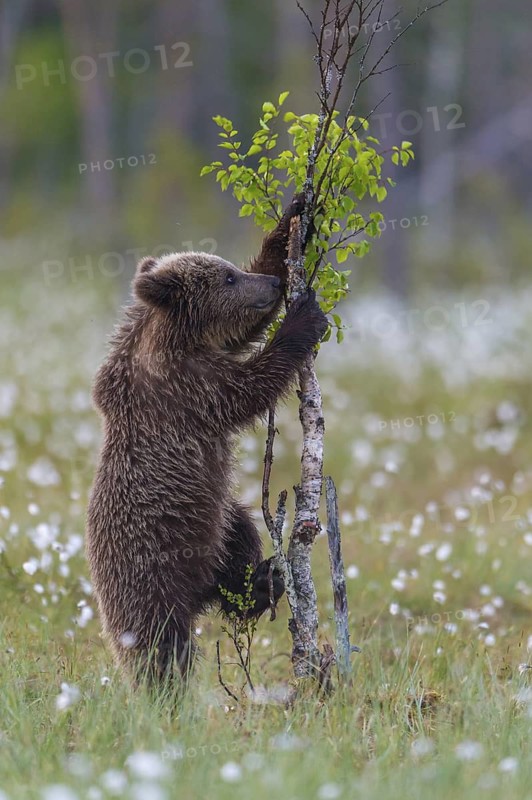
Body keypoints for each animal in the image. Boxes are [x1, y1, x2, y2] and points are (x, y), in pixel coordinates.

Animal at [86, 195, 328, 683]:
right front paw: (303, 317)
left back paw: (263, 582)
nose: (274, 283)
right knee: (161, 647)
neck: (174, 335)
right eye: (228, 277)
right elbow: (248, 388)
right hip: (148, 572)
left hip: (213, 525)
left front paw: (295, 213)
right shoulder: (187, 386)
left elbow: (242, 335)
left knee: (237, 538)